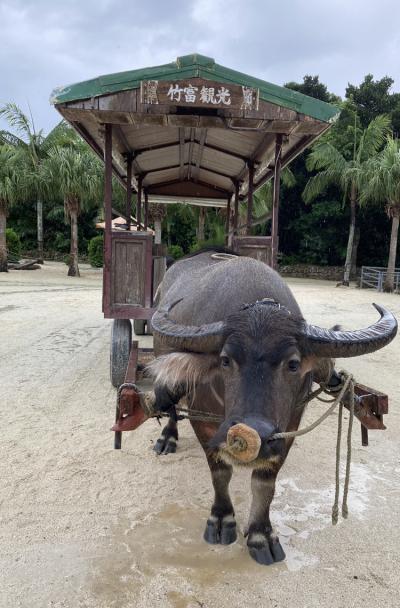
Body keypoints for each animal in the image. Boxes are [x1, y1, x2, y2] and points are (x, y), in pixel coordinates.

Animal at [148, 251, 396, 564]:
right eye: (226, 360)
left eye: (293, 364)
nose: (252, 433)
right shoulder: (202, 421)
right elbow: (220, 473)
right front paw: (221, 519)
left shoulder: (288, 428)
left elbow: (265, 484)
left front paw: (260, 535)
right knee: (170, 406)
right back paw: (167, 438)